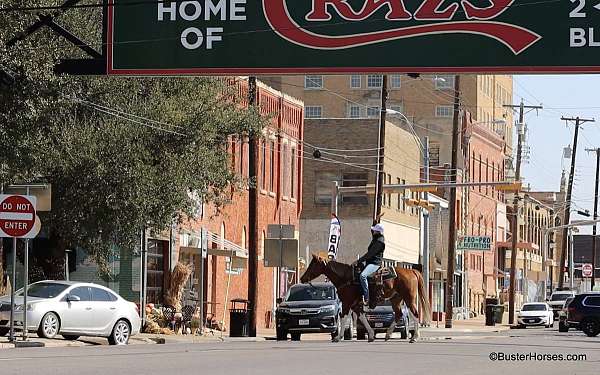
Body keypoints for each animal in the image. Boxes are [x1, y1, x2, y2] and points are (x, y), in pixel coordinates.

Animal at [300, 256, 432, 344]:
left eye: (312, 265)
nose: (302, 278)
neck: (346, 278)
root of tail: (412, 271)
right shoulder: (355, 305)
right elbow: (362, 318)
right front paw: (371, 335)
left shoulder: (347, 303)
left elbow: (343, 318)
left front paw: (338, 337)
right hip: (396, 299)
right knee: (399, 314)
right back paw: (388, 335)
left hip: (409, 298)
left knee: (415, 314)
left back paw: (414, 337)